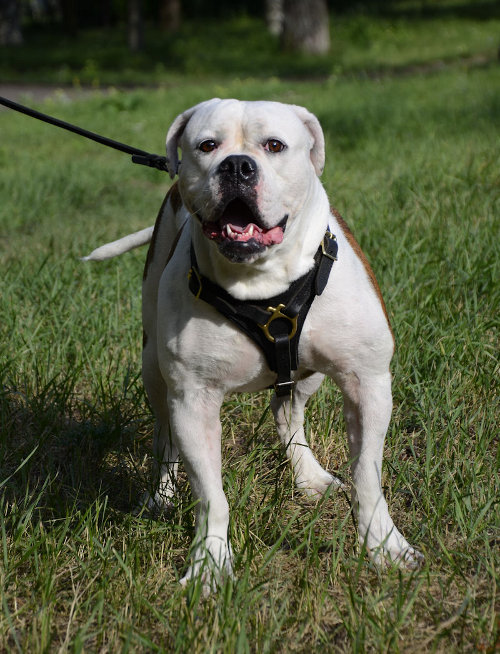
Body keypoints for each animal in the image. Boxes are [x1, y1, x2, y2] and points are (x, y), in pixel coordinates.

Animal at [85, 100, 422, 592]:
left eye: (274, 145)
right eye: (207, 145)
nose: (237, 166)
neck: (263, 282)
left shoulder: (369, 382)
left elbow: (367, 475)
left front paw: (384, 547)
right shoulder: (194, 400)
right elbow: (211, 495)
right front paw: (209, 563)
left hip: (308, 374)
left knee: (288, 414)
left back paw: (309, 476)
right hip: (153, 370)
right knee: (165, 436)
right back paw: (161, 494)